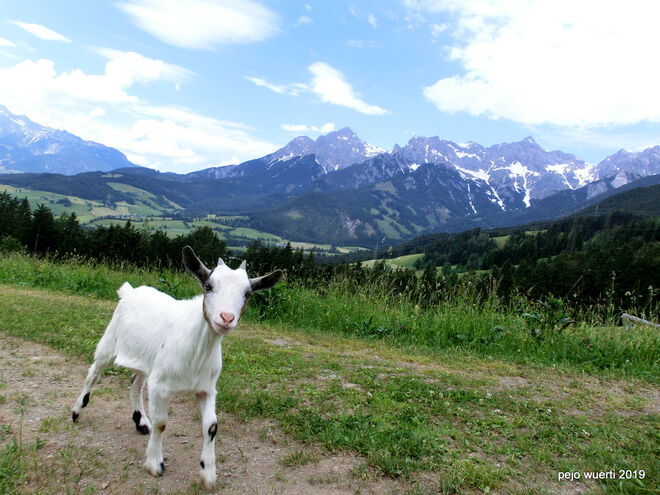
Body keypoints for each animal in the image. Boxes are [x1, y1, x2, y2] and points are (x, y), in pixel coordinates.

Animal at [71, 246, 282, 488]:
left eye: (247, 294)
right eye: (208, 286)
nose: (226, 318)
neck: (197, 350)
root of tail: (129, 291)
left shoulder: (207, 388)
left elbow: (211, 426)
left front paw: (208, 473)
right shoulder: (160, 384)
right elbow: (161, 423)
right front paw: (155, 464)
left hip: (147, 361)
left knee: (135, 383)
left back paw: (141, 422)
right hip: (109, 341)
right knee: (93, 374)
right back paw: (76, 412)